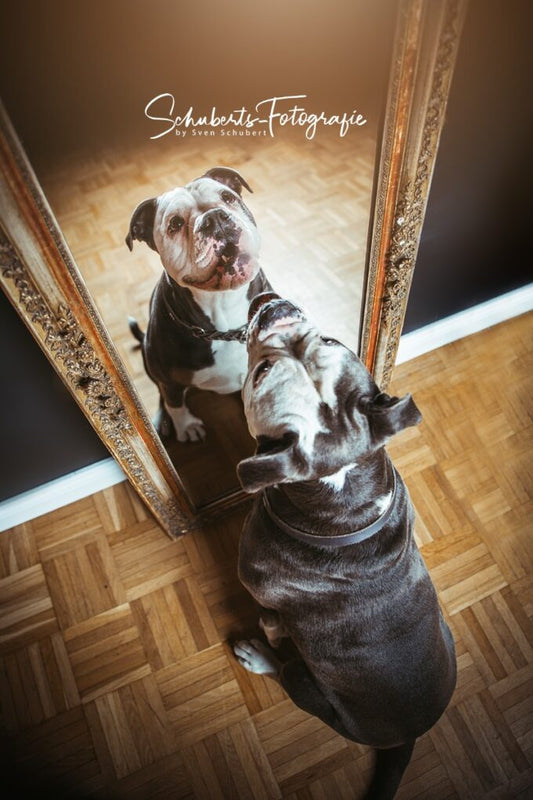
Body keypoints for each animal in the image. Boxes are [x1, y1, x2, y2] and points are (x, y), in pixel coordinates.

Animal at [124, 169, 270, 444]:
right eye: (175, 224)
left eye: (227, 197)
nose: (215, 218)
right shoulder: (168, 380)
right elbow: (174, 402)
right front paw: (186, 425)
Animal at [233, 294, 458, 800]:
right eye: (334, 338)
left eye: (260, 373)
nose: (276, 309)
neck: (342, 496)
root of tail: (406, 738)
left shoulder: (254, 582)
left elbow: (273, 617)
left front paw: (273, 632)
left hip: (305, 683)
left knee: (286, 673)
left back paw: (258, 656)